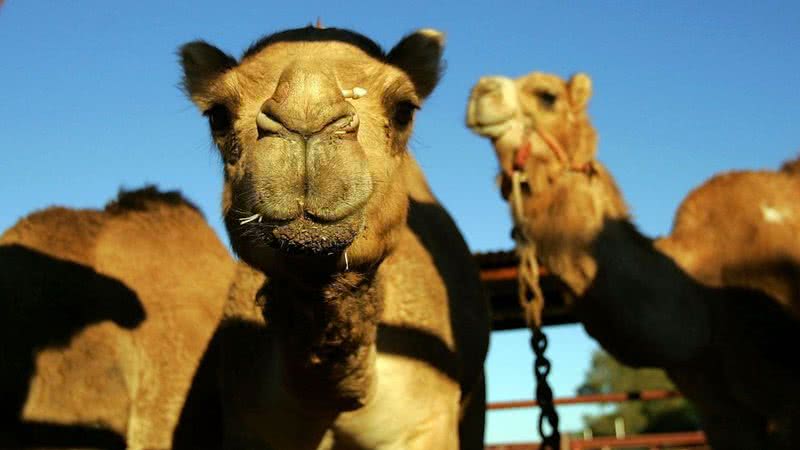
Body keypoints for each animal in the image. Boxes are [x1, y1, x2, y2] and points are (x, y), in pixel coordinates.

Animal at [181, 27, 490, 450]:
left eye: (404, 110)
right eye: (218, 115)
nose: (306, 113)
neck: (334, 398)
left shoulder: (426, 422)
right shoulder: (250, 425)